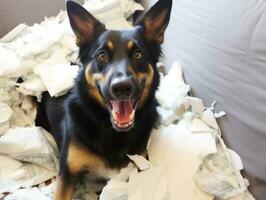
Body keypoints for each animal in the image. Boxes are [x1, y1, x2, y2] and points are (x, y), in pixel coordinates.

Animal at [35, 0, 172, 198]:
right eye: (101, 55)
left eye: (138, 54)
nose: (121, 88)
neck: (111, 129)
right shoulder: (67, 174)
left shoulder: (138, 168)